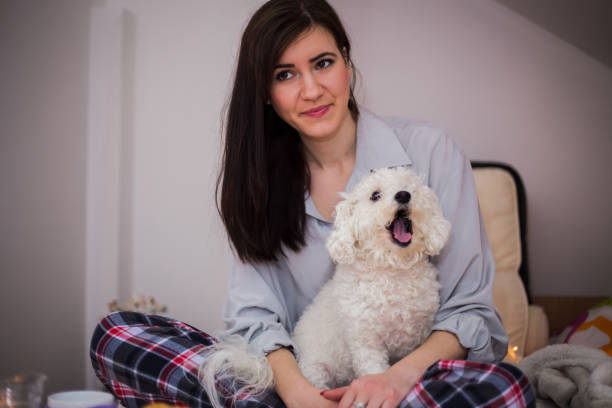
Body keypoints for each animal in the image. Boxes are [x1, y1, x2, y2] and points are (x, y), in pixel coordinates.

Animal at [200, 167, 450, 404]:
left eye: (410, 187)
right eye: (375, 195)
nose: (403, 195)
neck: (392, 269)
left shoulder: (419, 337)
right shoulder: (366, 343)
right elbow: (374, 371)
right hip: (315, 372)